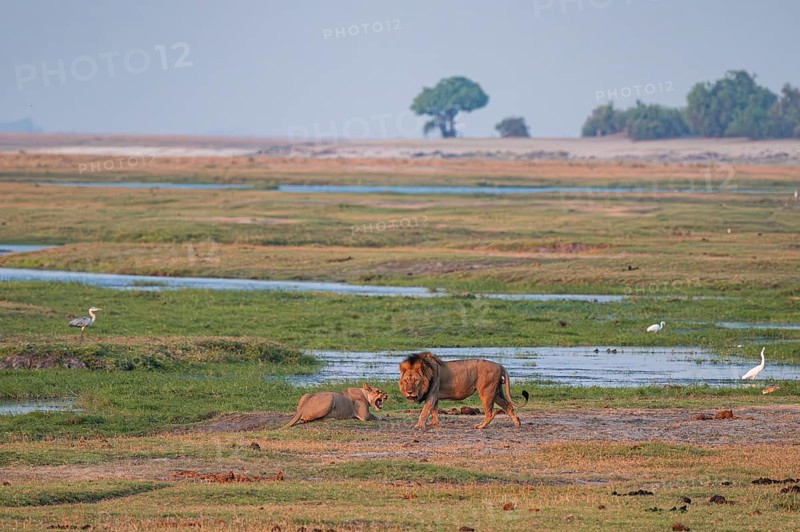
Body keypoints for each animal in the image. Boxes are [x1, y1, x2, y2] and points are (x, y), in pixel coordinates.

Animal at [399, 352, 528, 430]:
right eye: (406, 380)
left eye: (416, 380)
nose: (409, 392)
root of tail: (500, 365)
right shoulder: (434, 396)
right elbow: (434, 411)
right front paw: (433, 424)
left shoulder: (432, 394)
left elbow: (424, 411)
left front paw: (418, 426)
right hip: (496, 392)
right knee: (508, 406)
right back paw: (517, 423)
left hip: (486, 392)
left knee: (490, 412)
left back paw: (480, 426)